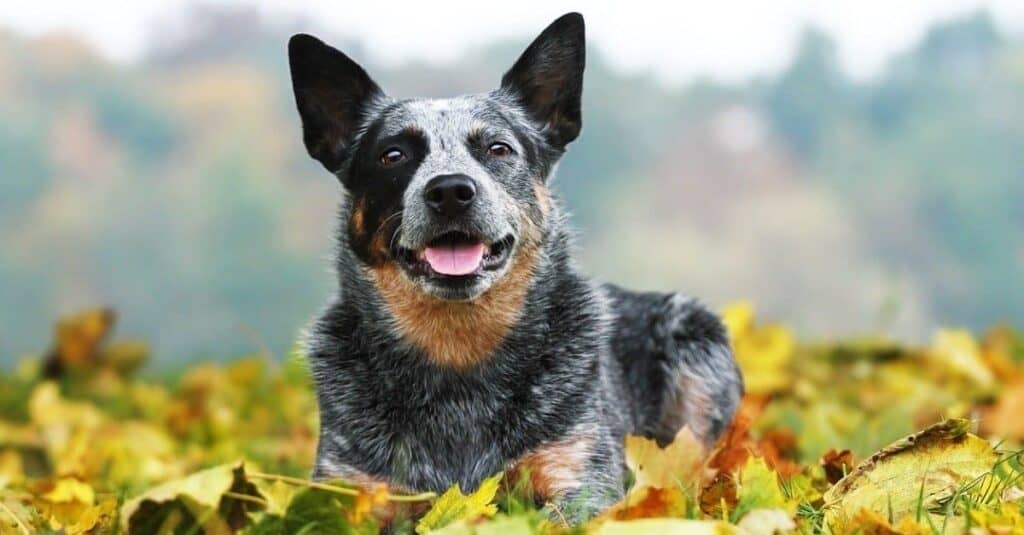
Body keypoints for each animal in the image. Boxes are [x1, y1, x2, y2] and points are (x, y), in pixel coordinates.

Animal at [288, 12, 745, 520]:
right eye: (393, 155)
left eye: (498, 148)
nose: (450, 190)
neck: (457, 357)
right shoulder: (347, 489)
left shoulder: (579, 478)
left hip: (696, 340)